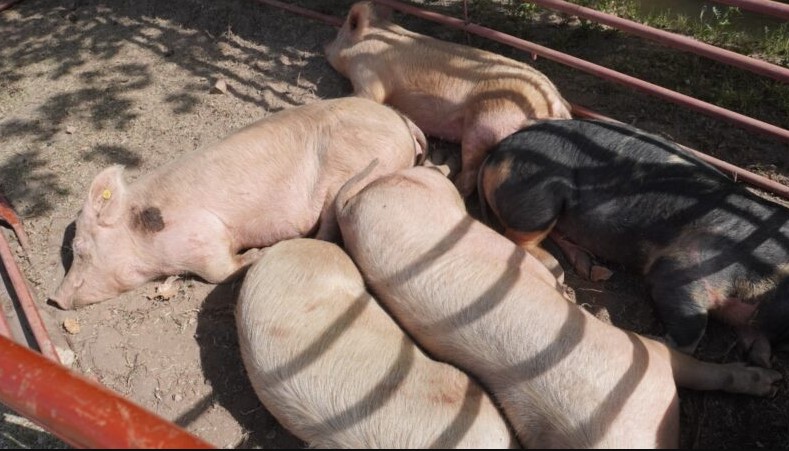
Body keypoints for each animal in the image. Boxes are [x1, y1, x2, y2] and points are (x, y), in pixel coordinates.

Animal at [50, 97, 426, 310]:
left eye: (80, 250)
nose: (54, 298)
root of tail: (402, 123)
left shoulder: (204, 235)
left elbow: (219, 270)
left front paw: (255, 255)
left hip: (349, 174)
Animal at [324, 0, 572, 197]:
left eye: (338, 35)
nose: (324, 47)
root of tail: (555, 103)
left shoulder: (368, 73)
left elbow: (369, 97)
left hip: (485, 122)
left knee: (470, 173)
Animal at [479, 119, 789, 368]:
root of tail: (496, 153)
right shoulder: (687, 264)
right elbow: (690, 326)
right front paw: (655, 341)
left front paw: (765, 362)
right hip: (538, 198)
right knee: (515, 234)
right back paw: (554, 265)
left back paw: (591, 267)